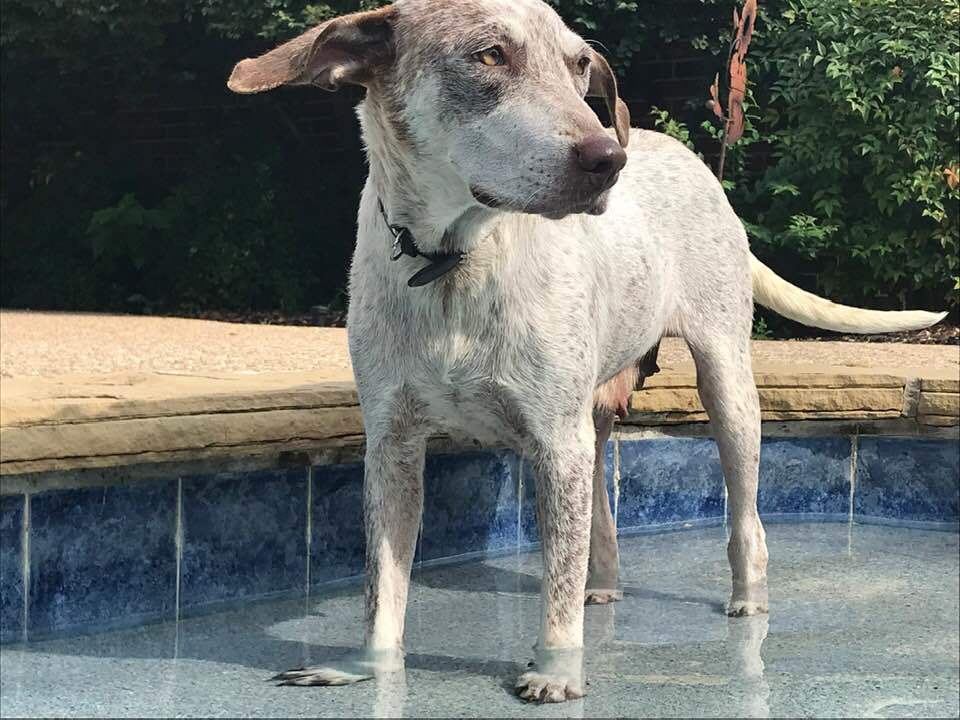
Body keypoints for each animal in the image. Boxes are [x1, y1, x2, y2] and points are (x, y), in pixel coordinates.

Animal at [229, 0, 948, 700]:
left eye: (579, 66)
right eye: (490, 54)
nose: (608, 160)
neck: (455, 262)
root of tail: (679, 153)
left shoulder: (555, 439)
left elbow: (556, 575)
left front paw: (555, 670)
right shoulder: (393, 445)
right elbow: (384, 583)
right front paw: (368, 666)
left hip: (725, 389)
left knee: (744, 518)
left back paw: (747, 601)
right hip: (594, 424)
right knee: (600, 520)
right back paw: (603, 587)